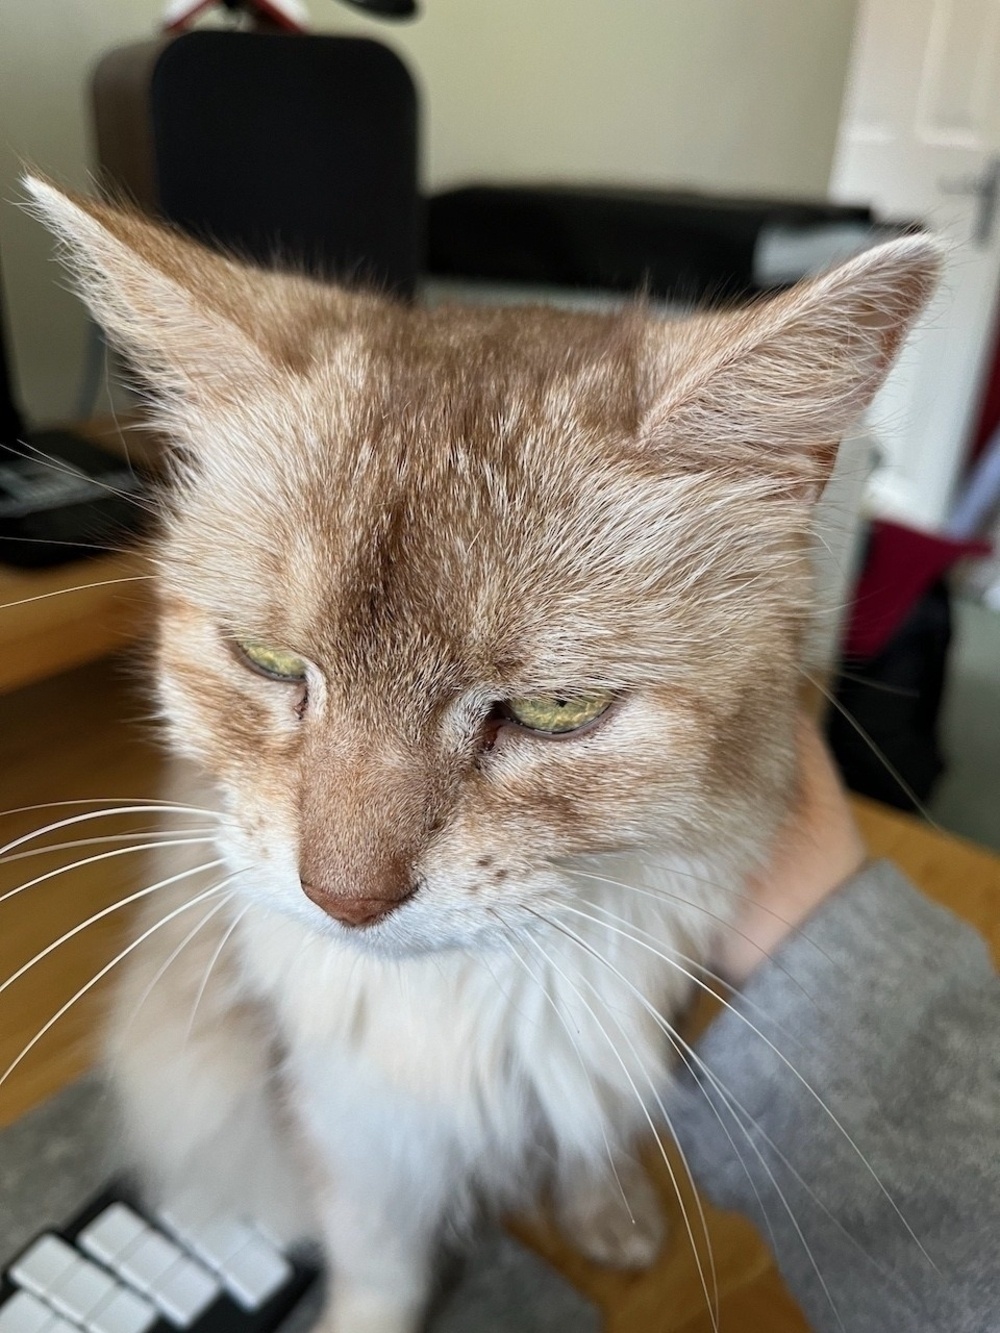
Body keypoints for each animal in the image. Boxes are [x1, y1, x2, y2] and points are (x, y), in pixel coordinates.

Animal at [29, 179, 938, 1333]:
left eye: (556, 708)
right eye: (269, 660)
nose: (342, 899)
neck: (475, 1004)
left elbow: (594, 1124)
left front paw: (607, 1211)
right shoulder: (354, 1122)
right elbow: (379, 1267)